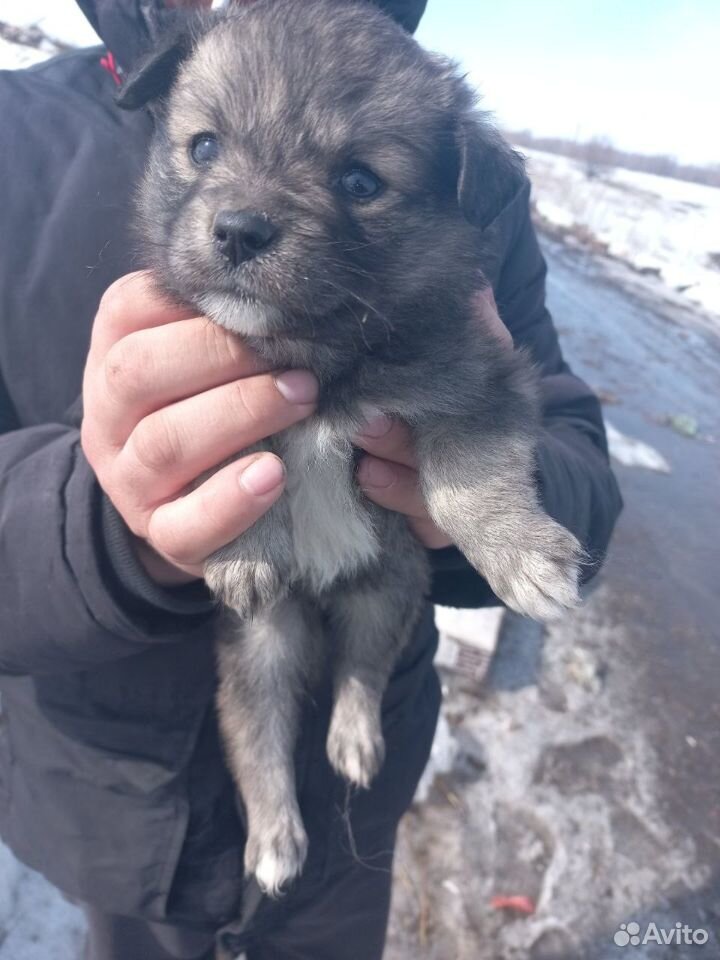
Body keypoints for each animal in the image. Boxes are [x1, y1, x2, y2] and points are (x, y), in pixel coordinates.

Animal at [118, 0, 580, 892]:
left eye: (360, 182)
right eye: (204, 147)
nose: (238, 230)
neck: (319, 356)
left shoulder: (477, 378)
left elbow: (469, 474)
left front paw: (523, 554)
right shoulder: (202, 382)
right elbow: (231, 447)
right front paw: (241, 546)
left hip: (386, 592)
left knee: (359, 673)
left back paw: (356, 740)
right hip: (263, 641)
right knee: (255, 732)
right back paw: (274, 839)